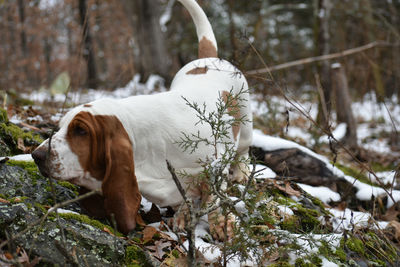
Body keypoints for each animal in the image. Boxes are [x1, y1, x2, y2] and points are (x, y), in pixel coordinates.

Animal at [32, 0, 252, 239]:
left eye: (81, 131)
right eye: (61, 127)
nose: (36, 155)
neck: (144, 146)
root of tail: (208, 57)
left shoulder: (214, 165)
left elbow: (214, 200)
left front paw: (221, 224)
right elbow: (187, 198)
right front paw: (183, 215)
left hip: (245, 125)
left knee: (243, 150)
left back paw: (242, 173)